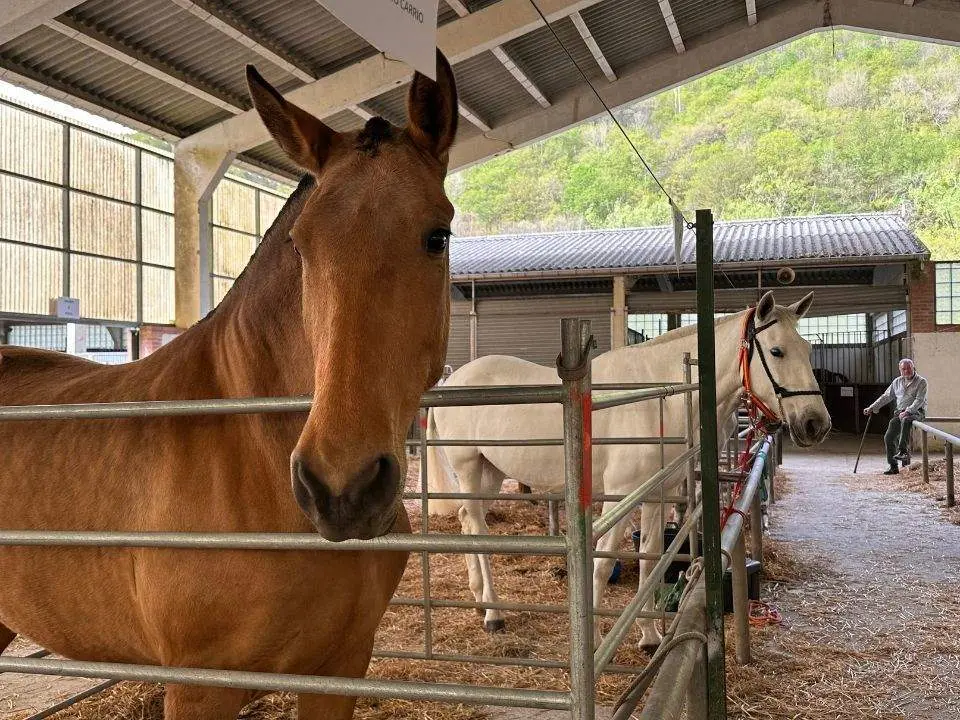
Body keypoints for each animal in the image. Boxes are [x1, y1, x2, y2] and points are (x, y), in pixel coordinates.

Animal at [0, 51, 458, 720]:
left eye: (438, 235)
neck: (250, 455)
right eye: (300, 245)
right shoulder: (199, 688)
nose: (341, 489)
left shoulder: (342, 668)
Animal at [426, 291, 831, 648]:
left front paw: (650, 637)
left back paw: (479, 598)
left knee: (469, 522)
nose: (816, 424)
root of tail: (452, 382)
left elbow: (651, 560)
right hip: (468, 468)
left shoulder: (654, 497)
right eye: (776, 351)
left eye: (808, 349)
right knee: (477, 527)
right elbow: (603, 565)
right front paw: (591, 642)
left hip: (490, 473)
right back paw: (493, 614)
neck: (656, 398)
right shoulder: (620, 498)